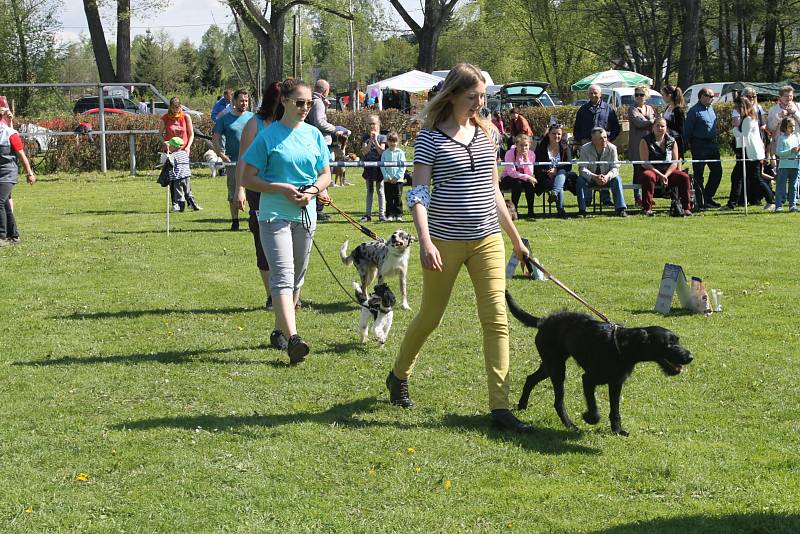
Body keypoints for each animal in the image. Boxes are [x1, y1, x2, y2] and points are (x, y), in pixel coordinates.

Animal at [510, 292, 692, 438]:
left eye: (677, 340)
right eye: (669, 344)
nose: (690, 356)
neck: (621, 347)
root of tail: (543, 321)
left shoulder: (616, 383)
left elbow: (615, 410)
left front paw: (617, 430)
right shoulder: (588, 379)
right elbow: (594, 409)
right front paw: (589, 418)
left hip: (550, 365)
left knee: (530, 378)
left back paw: (522, 405)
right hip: (557, 368)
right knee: (558, 401)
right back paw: (569, 424)